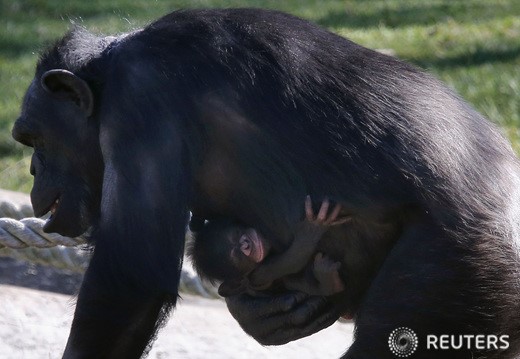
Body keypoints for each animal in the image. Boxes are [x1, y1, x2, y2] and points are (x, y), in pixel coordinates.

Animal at [191, 198, 350, 296]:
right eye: (237, 256)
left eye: (237, 234)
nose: (245, 244)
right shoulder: (258, 273)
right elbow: (291, 261)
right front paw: (311, 229)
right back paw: (330, 282)